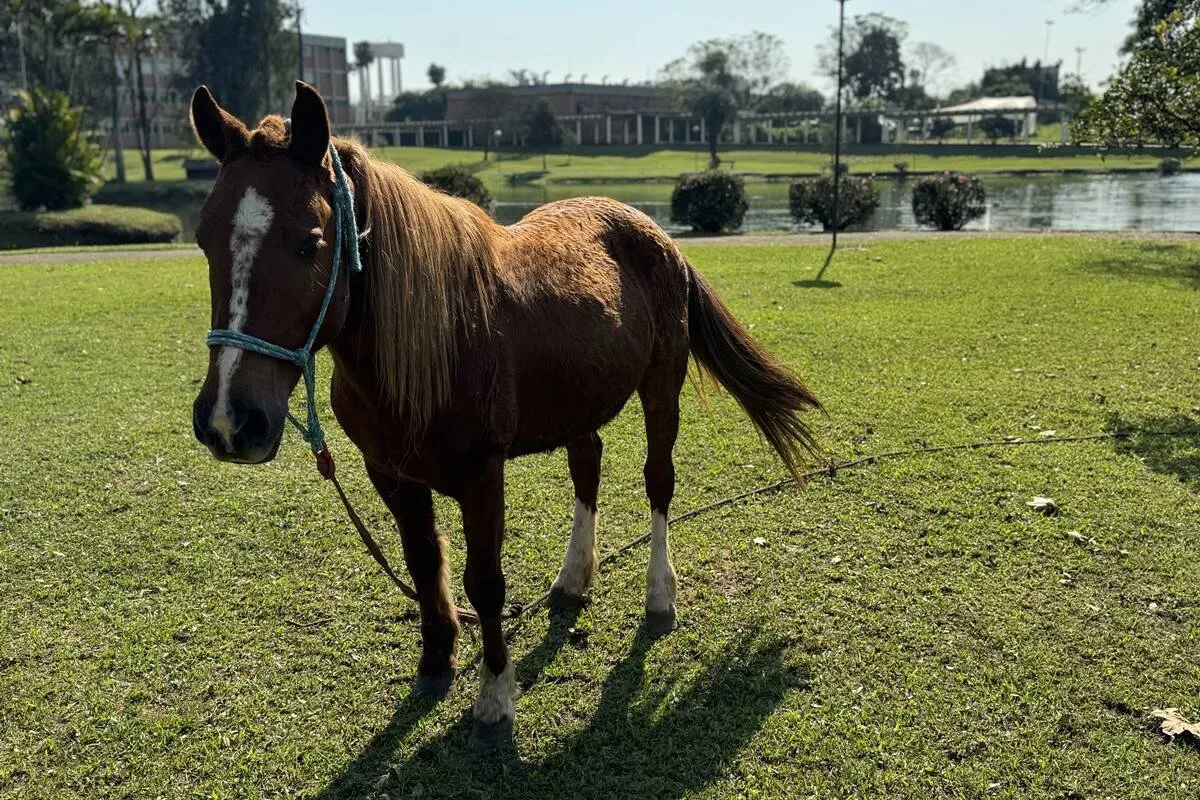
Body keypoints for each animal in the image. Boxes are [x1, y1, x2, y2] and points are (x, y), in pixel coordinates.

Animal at [189, 81, 825, 743]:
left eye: (310, 242)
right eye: (205, 239)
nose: (230, 421)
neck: (434, 337)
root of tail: (655, 231)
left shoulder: (481, 475)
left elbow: (485, 584)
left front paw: (495, 695)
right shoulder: (390, 473)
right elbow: (424, 563)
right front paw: (436, 662)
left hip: (661, 389)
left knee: (658, 483)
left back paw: (659, 596)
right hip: (578, 403)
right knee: (588, 467)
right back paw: (573, 578)